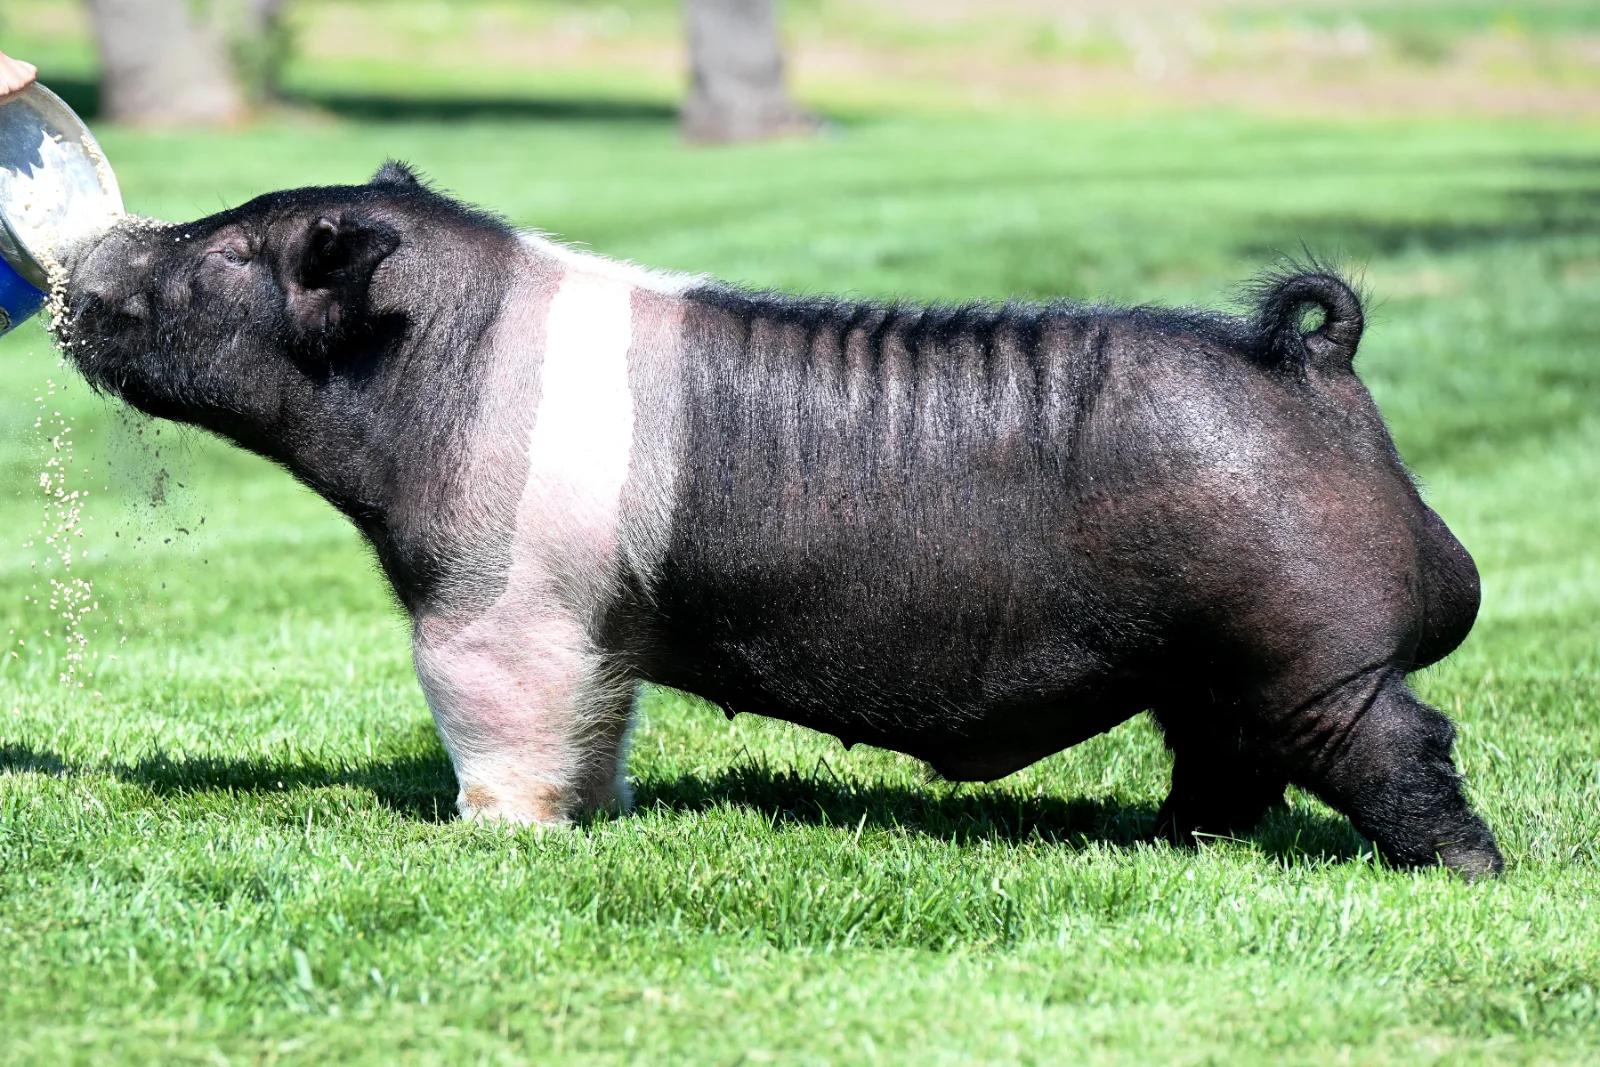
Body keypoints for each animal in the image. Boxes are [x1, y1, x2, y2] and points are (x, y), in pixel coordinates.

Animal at [60, 163, 1501, 878]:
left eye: (222, 257)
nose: (82, 265)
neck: (430, 364)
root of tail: (1310, 361)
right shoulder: (599, 623)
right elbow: (599, 723)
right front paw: (593, 813)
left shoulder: (496, 599)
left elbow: (497, 720)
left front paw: (489, 836)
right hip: (1210, 664)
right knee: (1224, 760)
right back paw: (1165, 848)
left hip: (1311, 647)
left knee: (1401, 743)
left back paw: (1465, 871)